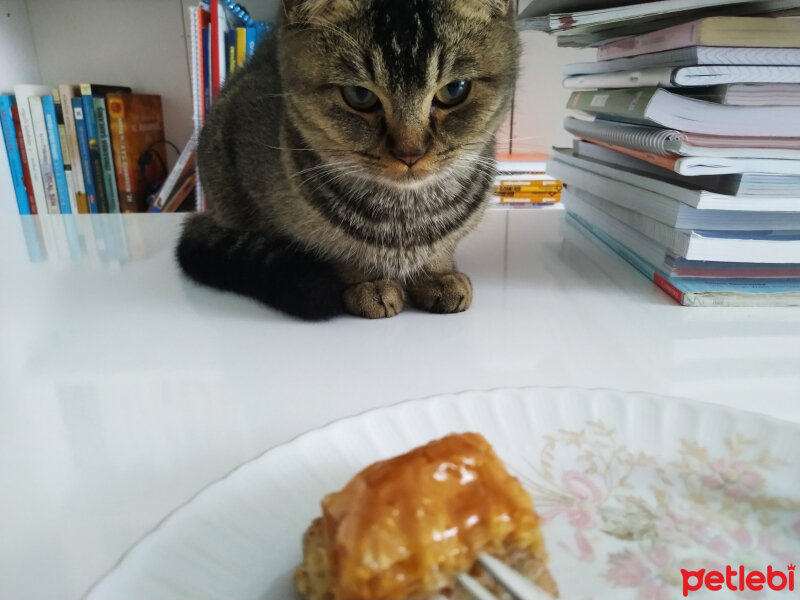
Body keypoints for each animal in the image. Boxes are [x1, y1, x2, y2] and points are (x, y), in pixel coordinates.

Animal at [177, 0, 520, 322]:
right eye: (359, 95)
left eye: (454, 89)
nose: (410, 153)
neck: (407, 217)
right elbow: (336, 248)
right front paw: (366, 283)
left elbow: (443, 246)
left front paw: (438, 274)